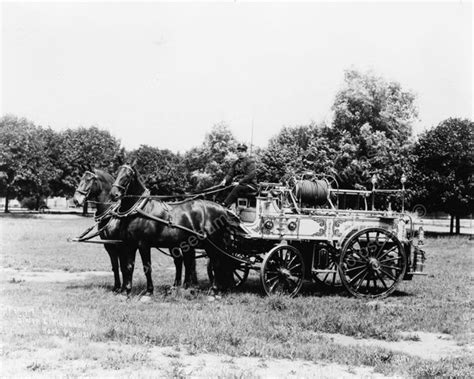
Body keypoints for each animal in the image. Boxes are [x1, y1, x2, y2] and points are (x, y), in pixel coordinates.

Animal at [110, 163, 237, 296]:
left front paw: (149, 291)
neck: (140, 209)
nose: (114, 194)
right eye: (117, 173)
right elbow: (129, 267)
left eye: (128, 175)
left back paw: (214, 290)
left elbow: (147, 267)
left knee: (216, 263)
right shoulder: (130, 244)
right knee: (193, 262)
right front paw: (127, 291)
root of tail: (222, 209)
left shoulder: (143, 244)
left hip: (212, 243)